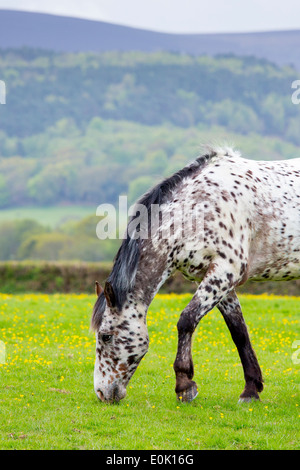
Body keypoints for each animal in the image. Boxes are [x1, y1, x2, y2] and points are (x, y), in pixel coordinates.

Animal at [92, 148, 300, 404]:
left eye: (106, 336)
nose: (102, 393)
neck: (198, 208)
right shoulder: (216, 279)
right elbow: (238, 331)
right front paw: (251, 389)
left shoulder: (226, 271)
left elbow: (187, 320)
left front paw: (184, 384)